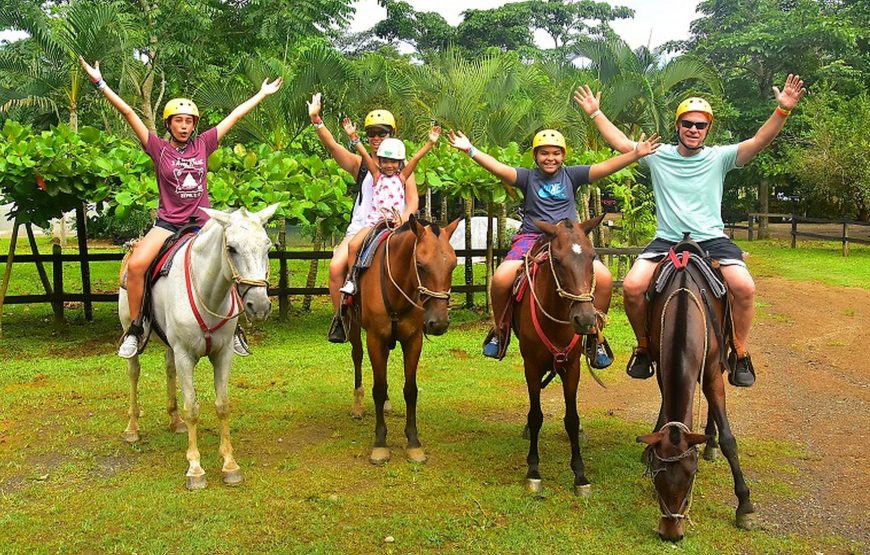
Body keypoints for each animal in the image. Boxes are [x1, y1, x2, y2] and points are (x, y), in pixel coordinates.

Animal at [120, 205, 280, 490]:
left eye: (267, 246)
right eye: (231, 248)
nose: (259, 306)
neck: (208, 294)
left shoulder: (223, 355)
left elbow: (222, 405)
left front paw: (230, 465)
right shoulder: (185, 355)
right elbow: (192, 408)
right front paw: (195, 469)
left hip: (171, 347)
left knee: (169, 368)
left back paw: (175, 421)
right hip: (132, 331)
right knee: (134, 373)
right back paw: (132, 428)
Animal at [346, 215, 460, 466]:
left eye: (453, 265)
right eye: (420, 265)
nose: (438, 323)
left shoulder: (413, 340)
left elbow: (410, 390)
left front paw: (414, 444)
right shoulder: (375, 339)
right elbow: (378, 389)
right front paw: (380, 444)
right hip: (354, 327)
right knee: (357, 356)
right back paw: (357, 406)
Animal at [516, 216, 604, 496]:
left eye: (592, 256)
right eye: (556, 259)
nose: (585, 319)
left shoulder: (572, 367)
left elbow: (572, 419)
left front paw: (580, 475)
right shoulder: (531, 367)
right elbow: (535, 416)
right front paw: (533, 471)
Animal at [632, 240, 756, 544]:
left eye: (691, 476)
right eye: (658, 477)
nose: (671, 533)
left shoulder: (711, 371)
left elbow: (729, 439)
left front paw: (744, 505)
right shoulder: (663, 369)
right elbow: (664, 412)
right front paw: (649, 449)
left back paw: (710, 442)